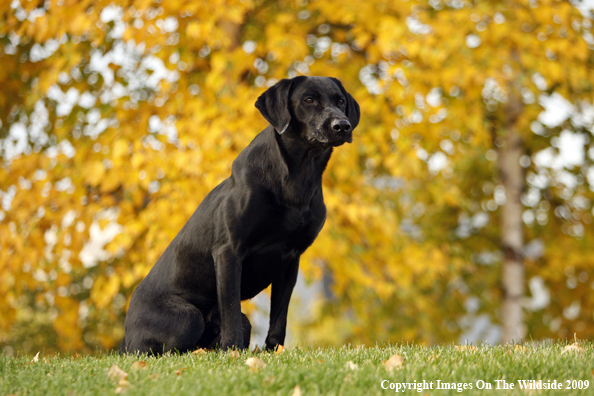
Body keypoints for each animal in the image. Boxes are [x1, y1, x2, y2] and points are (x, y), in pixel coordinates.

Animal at [116, 76, 356, 354]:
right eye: (309, 99)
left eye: (341, 101)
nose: (342, 125)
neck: (298, 176)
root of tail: (125, 338)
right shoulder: (229, 251)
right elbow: (230, 307)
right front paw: (232, 352)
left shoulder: (290, 259)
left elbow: (279, 317)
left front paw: (273, 352)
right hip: (187, 317)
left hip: (244, 321)